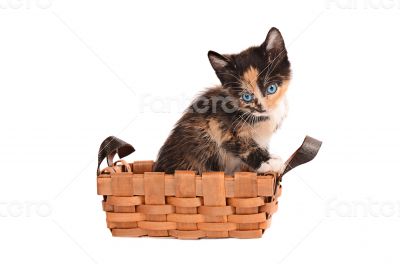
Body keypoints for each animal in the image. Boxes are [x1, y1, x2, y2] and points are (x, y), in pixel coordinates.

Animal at [154, 27, 290, 175]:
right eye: (246, 97)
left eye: (271, 88)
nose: (263, 108)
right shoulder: (215, 122)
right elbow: (241, 144)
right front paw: (269, 162)